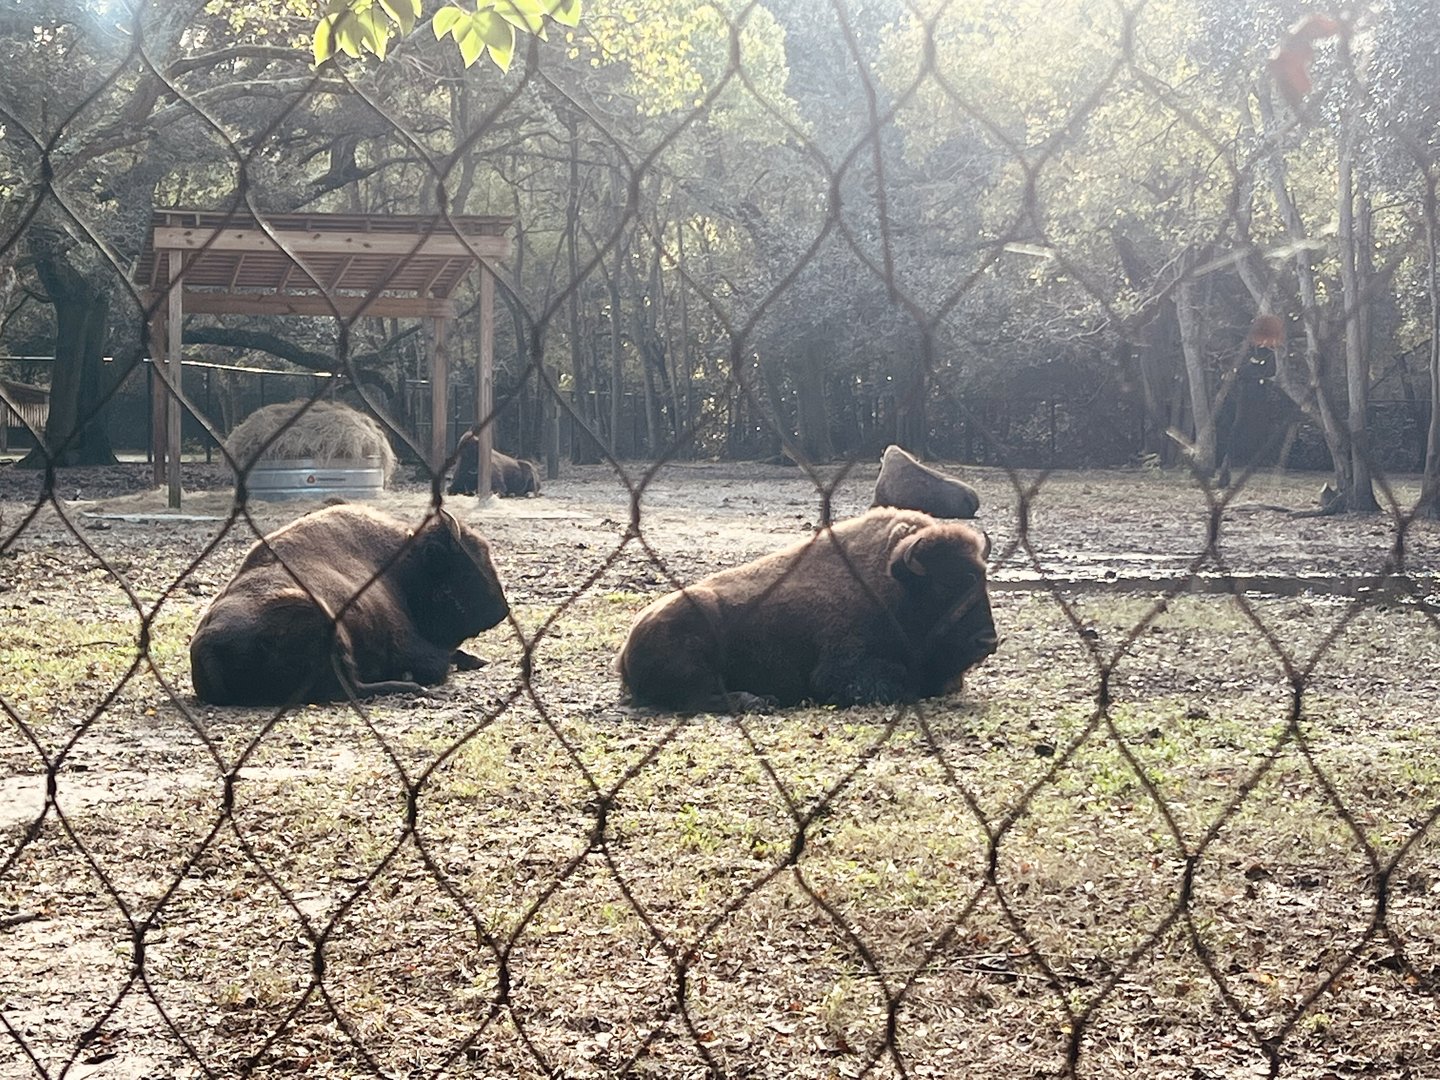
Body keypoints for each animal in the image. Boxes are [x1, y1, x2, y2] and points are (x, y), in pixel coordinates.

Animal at [190, 504, 510, 705]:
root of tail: (205, 644)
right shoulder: (409, 644)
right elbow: (439, 661)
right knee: (352, 688)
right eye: (469, 567)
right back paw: (411, 685)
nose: (502, 611)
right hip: (320, 617)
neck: (404, 566)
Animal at [617, 507, 997, 711]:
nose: (987, 641)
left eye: (982, 579)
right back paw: (759, 701)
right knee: (701, 697)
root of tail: (625, 649)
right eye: (945, 585)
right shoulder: (841, 670)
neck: (896, 585)